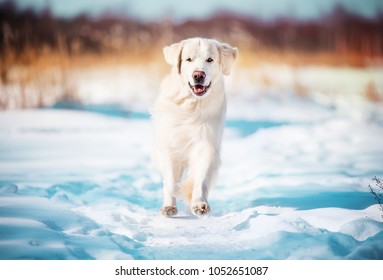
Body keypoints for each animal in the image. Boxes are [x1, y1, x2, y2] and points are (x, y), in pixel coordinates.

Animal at [152, 37, 237, 217]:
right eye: (188, 59)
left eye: (210, 59)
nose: (198, 75)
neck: (191, 106)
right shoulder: (169, 147)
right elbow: (171, 181)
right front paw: (174, 199)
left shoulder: (206, 146)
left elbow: (201, 178)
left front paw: (199, 203)